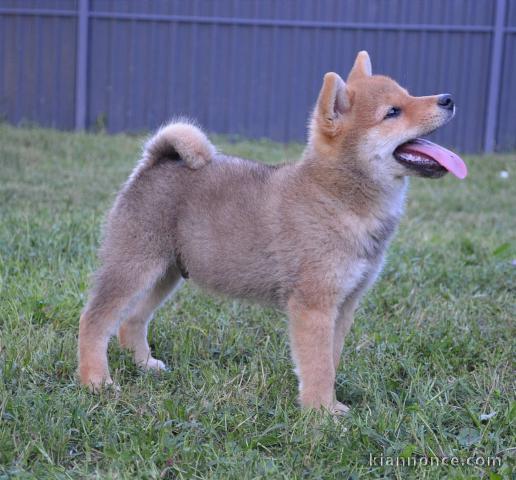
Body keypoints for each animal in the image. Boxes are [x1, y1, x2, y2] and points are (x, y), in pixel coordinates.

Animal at [77, 51, 468, 412]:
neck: (336, 197)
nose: (448, 98)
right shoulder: (313, 305)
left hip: (167, 272)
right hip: (134, 265)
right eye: (393, 112)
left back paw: (145, 364)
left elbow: (329, 361)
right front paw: (323, 416)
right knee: (94, 320)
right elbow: (318, 367)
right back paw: (96, 381)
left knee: (131, 321)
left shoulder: (344, 305)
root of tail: (154, 163)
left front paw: (327, 404)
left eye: (409, 94)